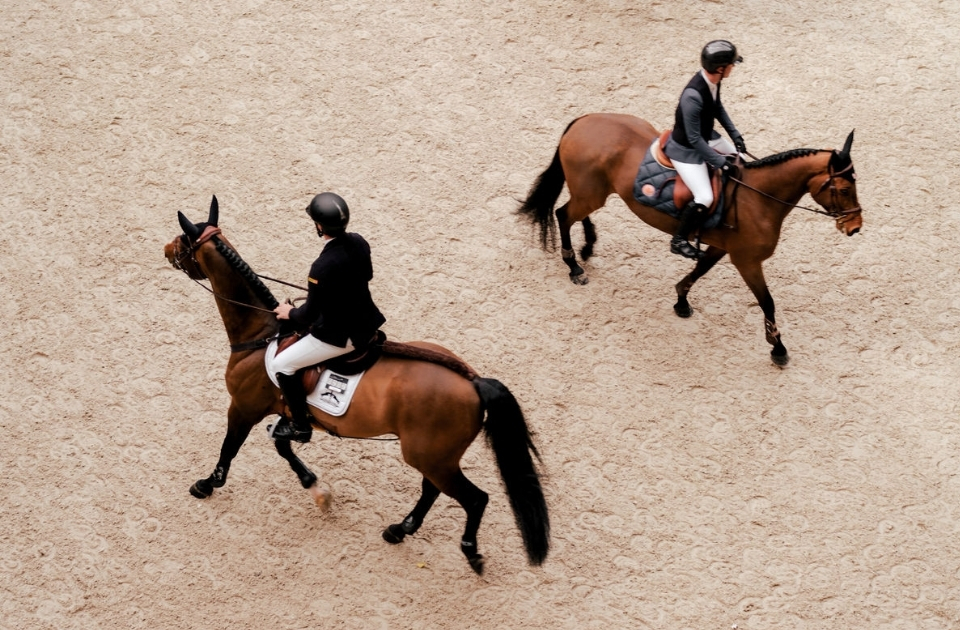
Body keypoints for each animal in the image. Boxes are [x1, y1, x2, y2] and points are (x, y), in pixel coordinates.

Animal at [164, 196, 549, 574]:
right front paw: (315, 487)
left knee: (474, 498)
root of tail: (471, 381)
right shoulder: (287, 411)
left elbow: (229, 448)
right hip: (436, 456)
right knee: (432, 489)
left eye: (182, 241)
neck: (261, 333)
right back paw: (399, 530)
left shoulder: (243, 407)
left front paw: (206, 485)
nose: (166, 250)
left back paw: (470, 553)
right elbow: (284, 445)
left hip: (431, 456)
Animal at [517, 113, 863, 366]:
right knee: (563, 215)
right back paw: (574, 266)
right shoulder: (747, 261)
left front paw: (681, 301)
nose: (855, 227)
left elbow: (698, 271)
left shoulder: (721, 248)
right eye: (845, 189)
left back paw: (588, 246)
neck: (758, 198)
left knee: (576, 213)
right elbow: (767, 302)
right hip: (590, 193)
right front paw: (777, 347)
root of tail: (584, 120)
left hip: (594, 192)